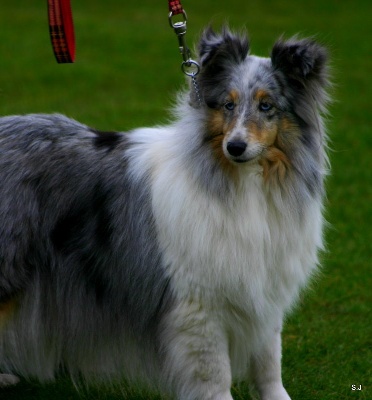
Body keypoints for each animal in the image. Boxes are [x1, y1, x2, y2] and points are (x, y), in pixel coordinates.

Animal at [0, 26, 332, 398]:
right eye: (228, 104)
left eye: (266, 106)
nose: (235, 147)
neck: (244, 182)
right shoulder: (199, 305)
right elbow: (216, 375)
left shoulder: (263, 290)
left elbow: (269, 362)